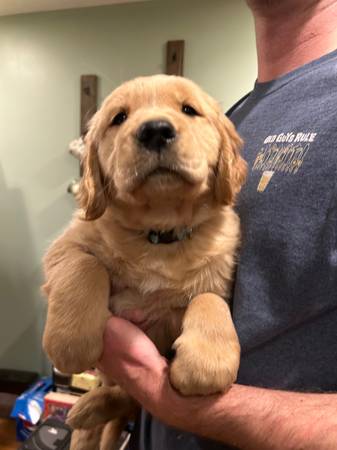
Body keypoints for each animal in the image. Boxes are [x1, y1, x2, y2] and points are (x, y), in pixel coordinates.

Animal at [42, 75, 247, 448]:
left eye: (188, 110)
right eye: (119, 118)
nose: (155, 131)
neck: (160, 233)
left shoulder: (218, 275)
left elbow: (208, 298)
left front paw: (207, 362)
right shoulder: (64, 246)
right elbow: (86, 266)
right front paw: (70, 342)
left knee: (128, 397)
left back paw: (92, 406)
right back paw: (85, 412)